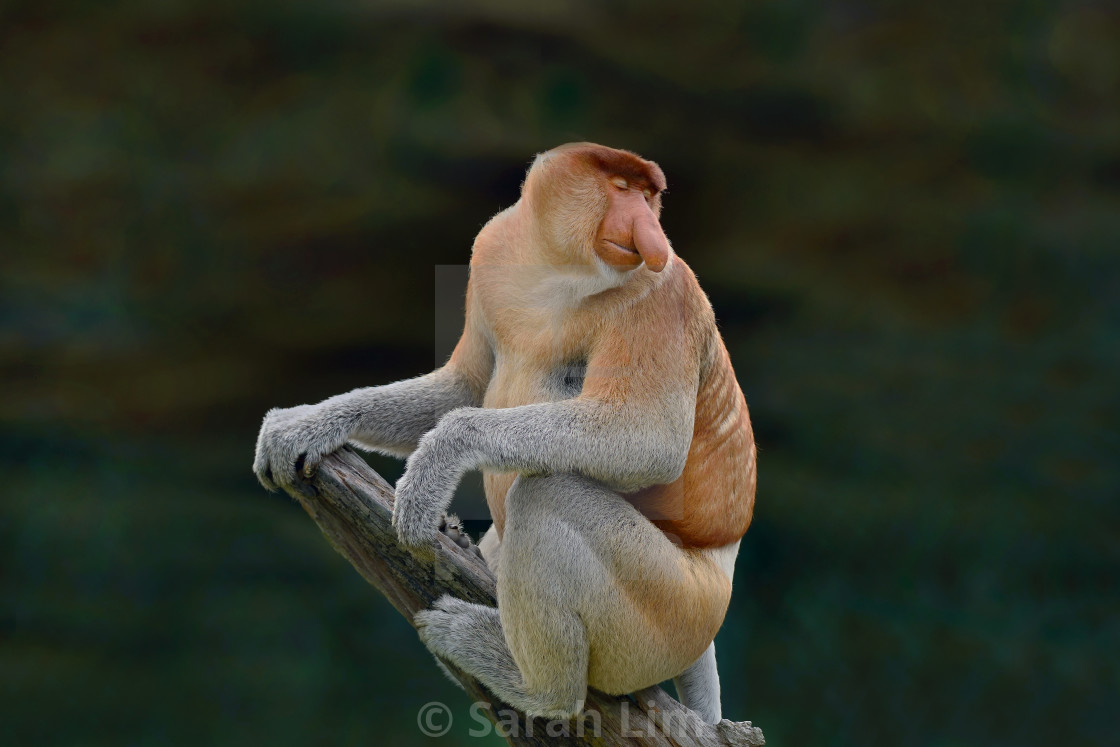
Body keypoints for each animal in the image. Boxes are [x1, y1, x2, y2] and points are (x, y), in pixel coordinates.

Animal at [254, 141, 757, 725]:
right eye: (623, 189)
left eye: (648, 196)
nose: (651, 235)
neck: (558, 271)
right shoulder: (490, 248)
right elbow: (466, 384)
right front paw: (304, 424)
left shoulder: (661, 296)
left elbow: (647, 439)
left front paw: (433, 470)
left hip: (670, 612)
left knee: (546, 496)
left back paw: (533, 684)